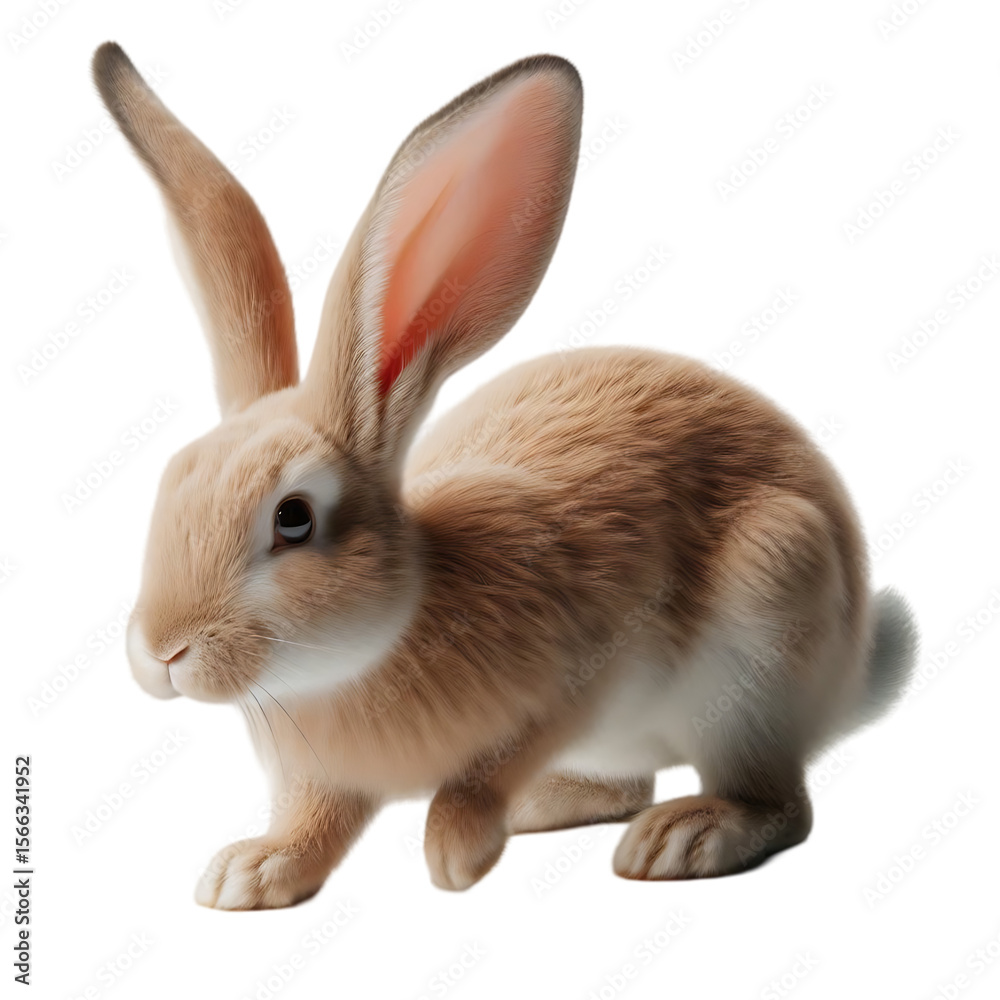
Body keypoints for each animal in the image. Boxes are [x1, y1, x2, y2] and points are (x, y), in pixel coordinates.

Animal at [93, 41, 918, 909]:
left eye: (294, 517)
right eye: (169, 481)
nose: (162, 651)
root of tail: (853, 669)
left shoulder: (582, 671)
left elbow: (494, 762)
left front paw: (457, 851)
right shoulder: (323, 780)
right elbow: (315, 819)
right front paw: (250, 873)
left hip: (767, 616)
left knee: (777, 801)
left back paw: (685, 835)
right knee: (627, 785)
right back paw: (551, 806)